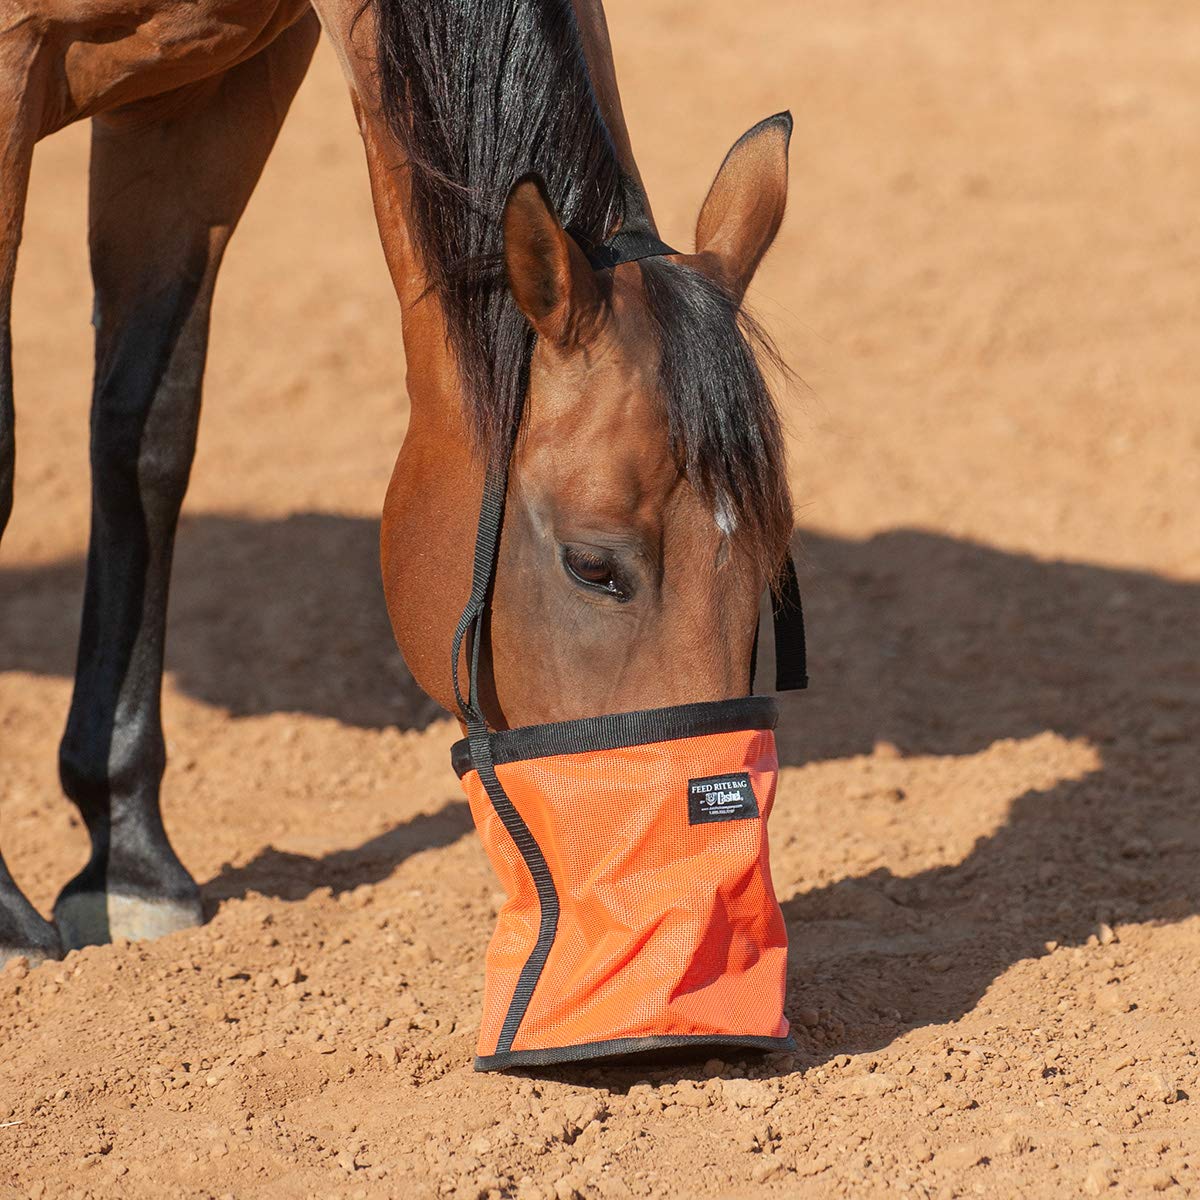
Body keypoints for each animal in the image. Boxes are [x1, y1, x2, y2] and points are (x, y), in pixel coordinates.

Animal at [0, 0, 794, 964]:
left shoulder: (209, 90)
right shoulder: (12, 68)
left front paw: (132, 866)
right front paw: (10, 920)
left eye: (771, 564)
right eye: (593, 566)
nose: (700, 921)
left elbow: (144, 441)